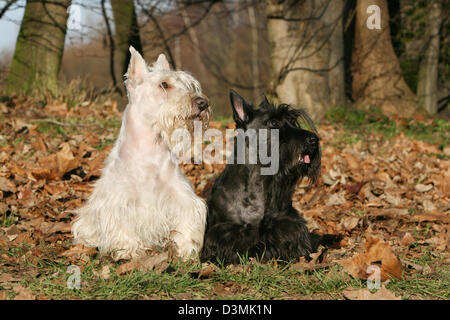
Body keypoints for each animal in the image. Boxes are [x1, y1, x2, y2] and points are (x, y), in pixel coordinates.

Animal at [71, 48, 209, 262]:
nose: (203, 103)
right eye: (164, 84)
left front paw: (185, 251)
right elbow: (123, 226)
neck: (149, 153)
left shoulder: (182, 198)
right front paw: (128, 251)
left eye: (187, 84)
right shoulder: (118, 202)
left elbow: (186, 222)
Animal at [201, 89, 338, 264]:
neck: (260, 180)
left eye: (292, 120)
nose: (314, 139)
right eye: (274, 122)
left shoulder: (287, 223)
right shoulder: (225, 232)